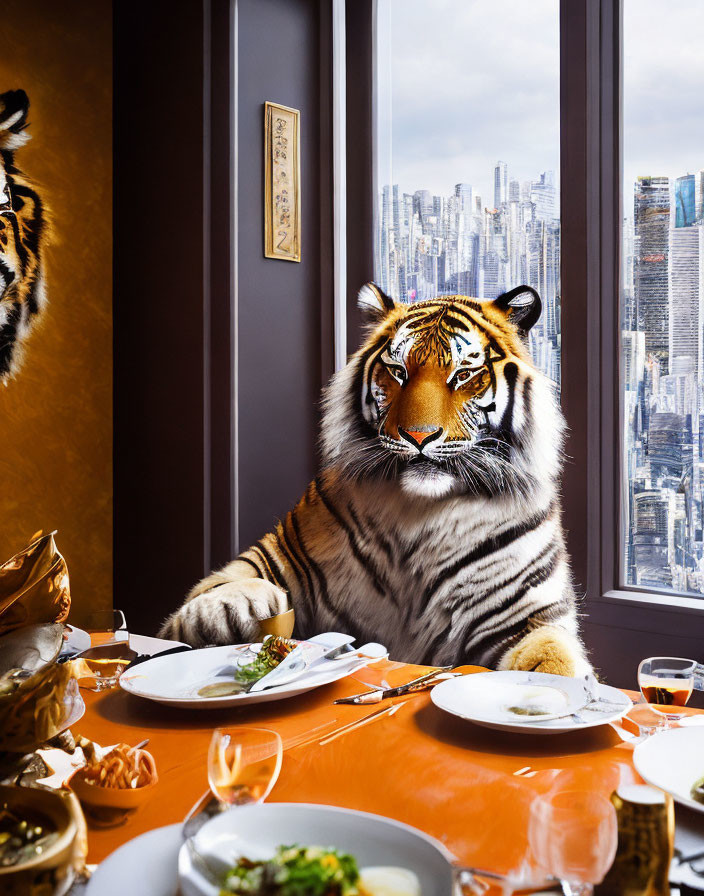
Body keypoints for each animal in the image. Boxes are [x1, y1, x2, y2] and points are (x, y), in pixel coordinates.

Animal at [160, 284, 588, 676]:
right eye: (398, 372)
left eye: (463, 374)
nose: (418, 436)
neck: (421, 511)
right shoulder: (278, 555)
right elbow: (218, 586)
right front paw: (233, 608)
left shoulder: (524, 615)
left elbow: (552, 660)